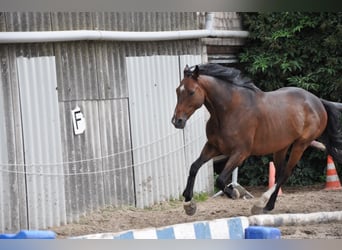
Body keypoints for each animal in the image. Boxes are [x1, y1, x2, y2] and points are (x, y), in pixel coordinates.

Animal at [172, 63, 342, 216]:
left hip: (301, 145)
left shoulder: (240, 153)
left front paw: (233, 193)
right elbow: (194, 167)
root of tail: (317, 101)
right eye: (177, 91)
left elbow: (220, 179)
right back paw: (268, 206)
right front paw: (188, 204)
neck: (229, 111)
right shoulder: (213, 147)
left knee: (285, 174)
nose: (177, 121)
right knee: (280, 174)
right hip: (281, 147)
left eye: (191, 92)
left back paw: (260, 204)